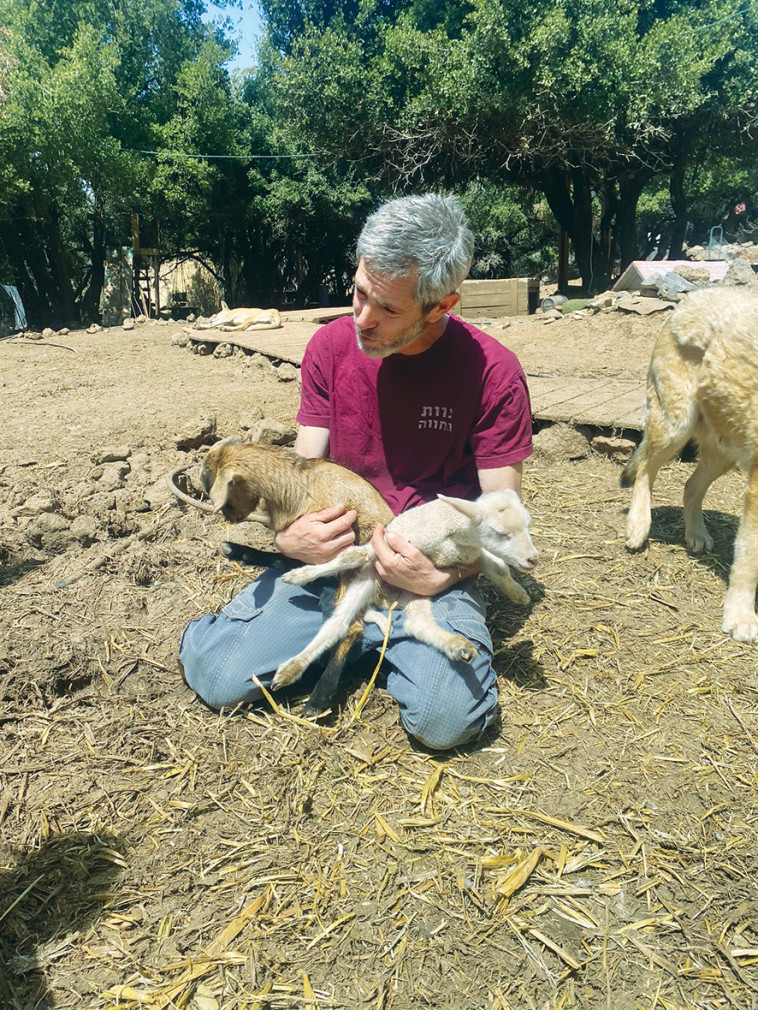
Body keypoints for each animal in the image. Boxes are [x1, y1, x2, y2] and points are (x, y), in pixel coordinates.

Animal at [622, 288, 758, 642]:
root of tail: (692, 296)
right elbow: (749, 558)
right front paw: (740, 616)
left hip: (725, 451)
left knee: (689, 486)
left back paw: (695, 533)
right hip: (675, 426)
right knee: (645, 471)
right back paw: (638, 526)